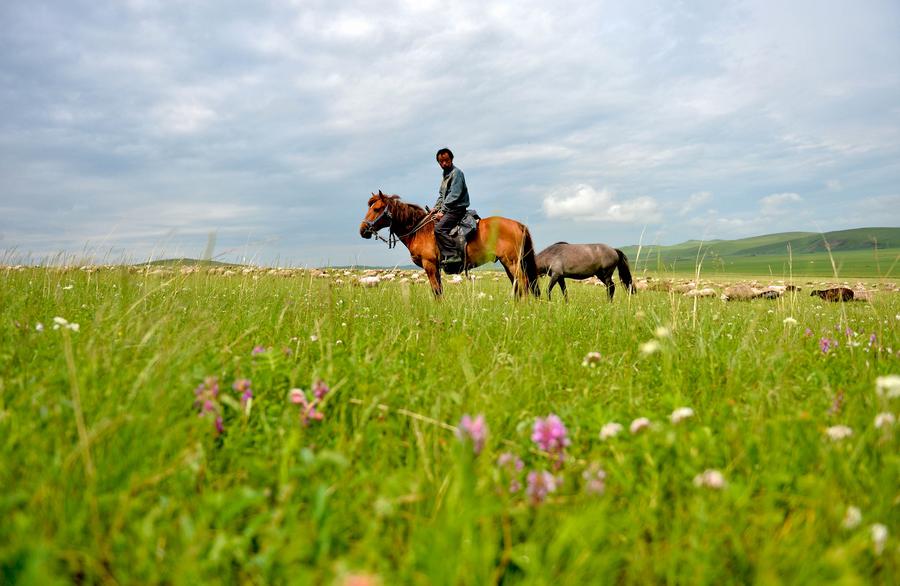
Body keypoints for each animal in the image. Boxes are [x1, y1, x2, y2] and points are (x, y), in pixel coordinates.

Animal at [360, 190, 540, 296]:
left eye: (376, 209)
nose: (363, 230)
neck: (419, 231)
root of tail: (518, 224)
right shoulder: (435, 268)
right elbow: (439, 291)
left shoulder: (430, 265)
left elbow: (436, 292)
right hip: (509, 263)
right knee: (518, 286)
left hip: (512, 262)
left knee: (523, 283)